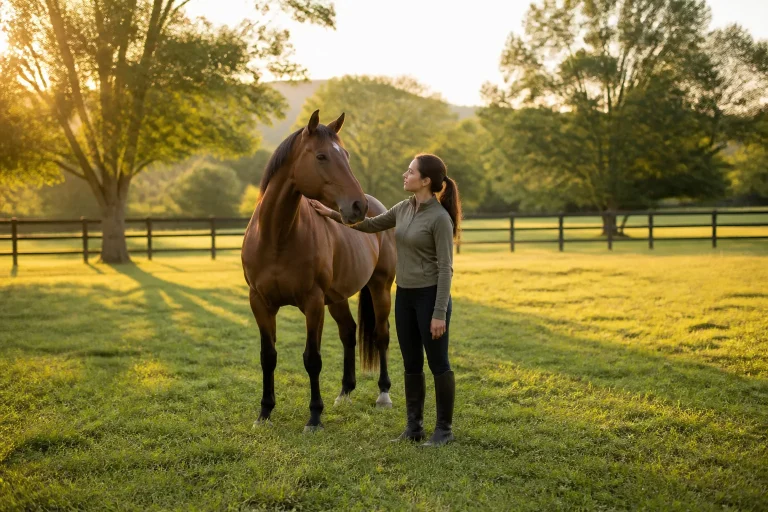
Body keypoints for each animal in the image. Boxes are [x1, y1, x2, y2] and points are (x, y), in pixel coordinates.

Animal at [241, 110, 397, 432]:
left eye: (346, 155)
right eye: (322, 156)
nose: (357, 206)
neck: (276, 236)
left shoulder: (312, 303)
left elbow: (312, 359)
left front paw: (314, 417)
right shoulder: (259, 303)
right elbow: (268, 356)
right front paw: (264, 413)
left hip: (380, 287)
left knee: (381, 334)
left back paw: (383, 394)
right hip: (337, 298)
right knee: (349, 333)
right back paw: (344, 393)